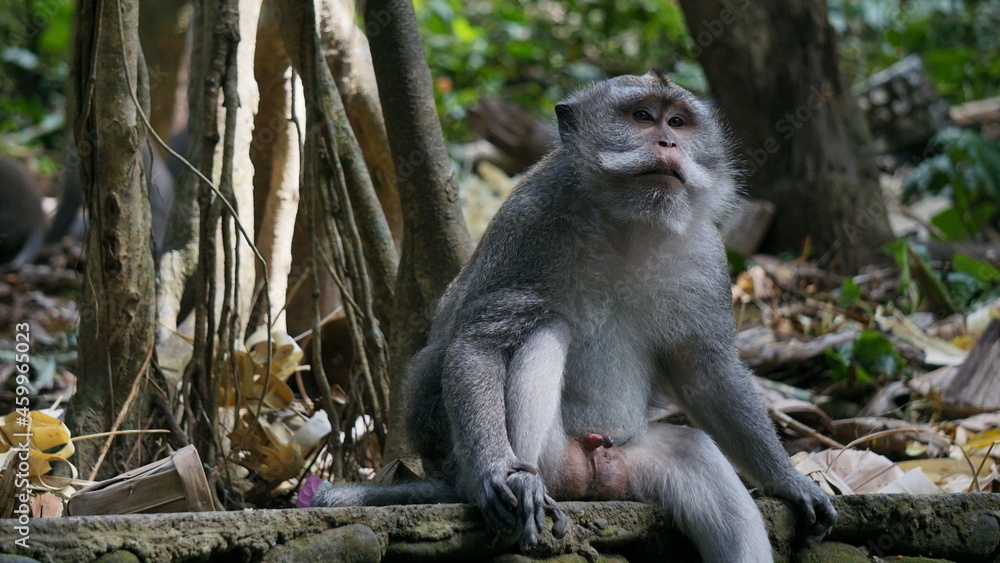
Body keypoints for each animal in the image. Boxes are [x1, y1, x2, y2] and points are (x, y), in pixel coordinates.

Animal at [311, 70, 836, 562]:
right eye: (642, 117)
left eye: (678, 122)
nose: (667, 142)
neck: (627, 222)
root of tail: (595, 472)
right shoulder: (528, 222)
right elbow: (481, 343)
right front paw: (498, 470)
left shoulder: (706, 253)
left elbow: (708, 374)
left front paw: (790, 482)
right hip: (529, 459)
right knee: (543, 328)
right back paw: (518, 486)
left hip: (631, 463)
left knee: (694, 452)